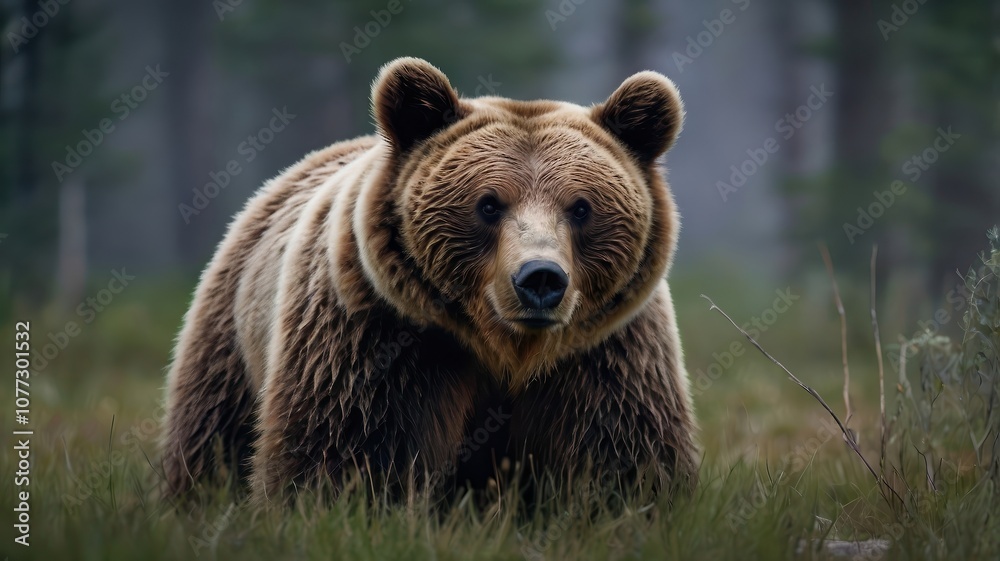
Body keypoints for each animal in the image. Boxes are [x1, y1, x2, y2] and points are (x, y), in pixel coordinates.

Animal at [162, 57, 697, 504]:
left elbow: (626, 455)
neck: (504, 351)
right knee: (210, 437)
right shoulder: (376, 339)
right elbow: (340, 451)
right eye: (488, 204)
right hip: (231, 338)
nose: (541, 278)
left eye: (581, 207)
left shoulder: (607, 355)